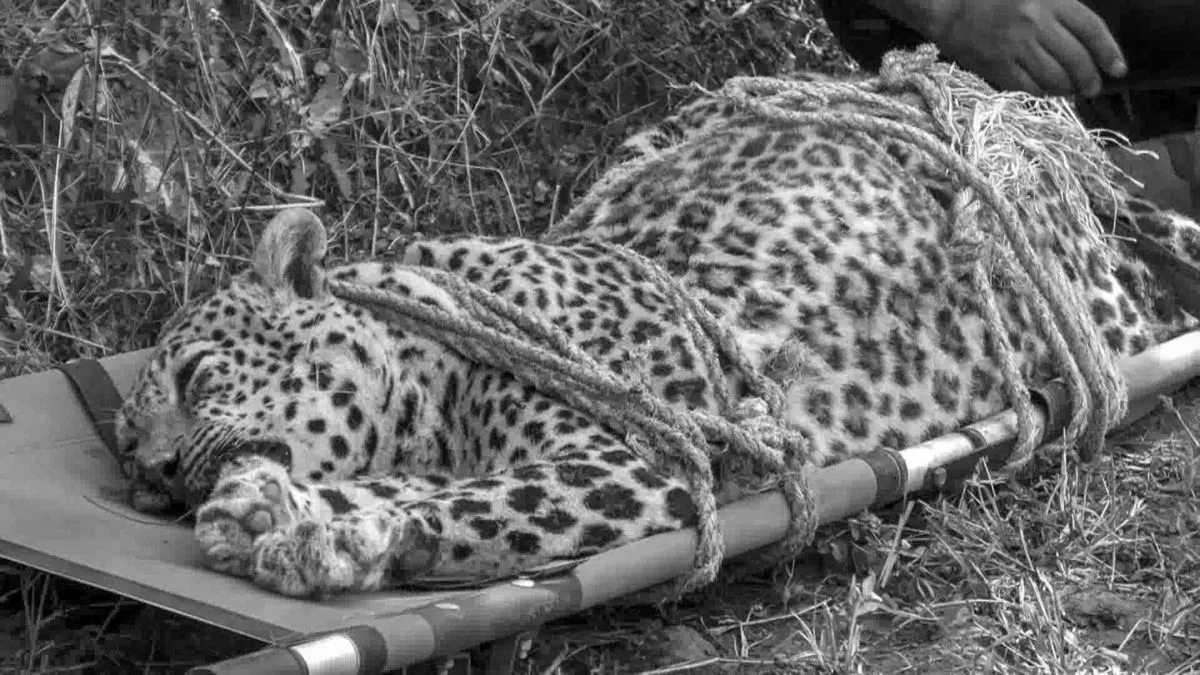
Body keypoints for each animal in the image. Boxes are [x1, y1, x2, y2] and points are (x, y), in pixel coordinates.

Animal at [115, 73, 1200, 599]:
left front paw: (315, 528)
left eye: (199, 374)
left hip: (1077, 293)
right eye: (125, 451)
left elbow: (485, 506)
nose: (156, 477)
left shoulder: (643, 458)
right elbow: (411, 492)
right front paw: (277, 510)